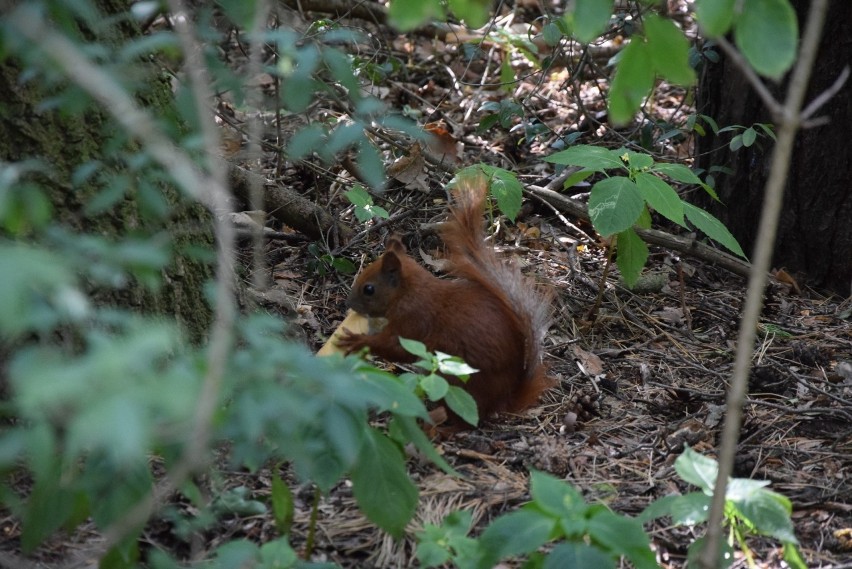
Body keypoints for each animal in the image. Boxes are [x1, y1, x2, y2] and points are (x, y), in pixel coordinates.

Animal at [340, 176, 552, 422]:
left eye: (369, 289)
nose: (348, 305)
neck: (408, 293)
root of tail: (504, 400)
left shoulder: (414, 321)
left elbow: (397, 348)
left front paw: (356, 341)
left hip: (457, 381)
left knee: (466, 421)